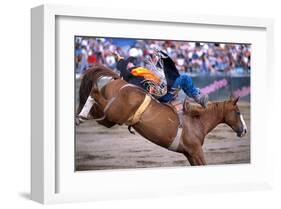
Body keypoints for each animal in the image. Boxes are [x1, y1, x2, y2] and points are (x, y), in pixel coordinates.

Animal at [76, 64, 245, 166]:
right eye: (237, 112)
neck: (197, 121)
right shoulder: (196, 151)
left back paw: (81, 116)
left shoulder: (189, 154)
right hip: (113, 113)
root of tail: (117, 80)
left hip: (109, 118)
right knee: (94, 93)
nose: (244, 130)